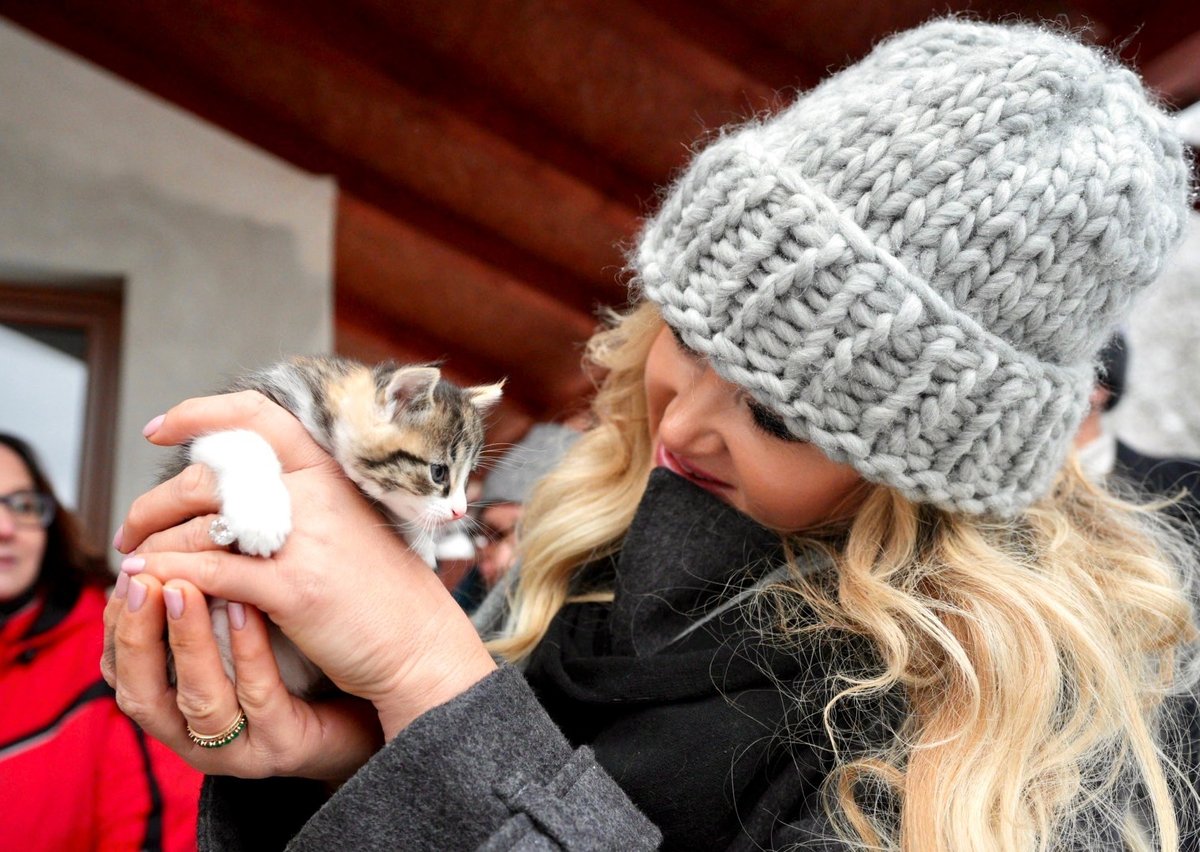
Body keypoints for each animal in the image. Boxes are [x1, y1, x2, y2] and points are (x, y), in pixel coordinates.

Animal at [162, 357, 499, 696]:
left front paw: (422, 544)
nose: (460, 511)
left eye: (468, 477)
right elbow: (246, 440)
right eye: (438, 472)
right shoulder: (219, 420)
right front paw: (260, 519)